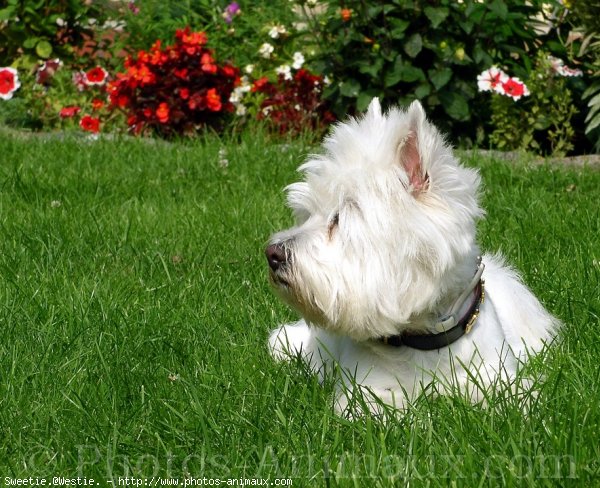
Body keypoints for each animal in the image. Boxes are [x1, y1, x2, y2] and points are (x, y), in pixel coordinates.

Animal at [264, 99, 560, 416]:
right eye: (307, 214)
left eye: (339, 218)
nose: (272, 253)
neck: (425, 340)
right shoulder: (365, 389)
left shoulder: (494, 374)